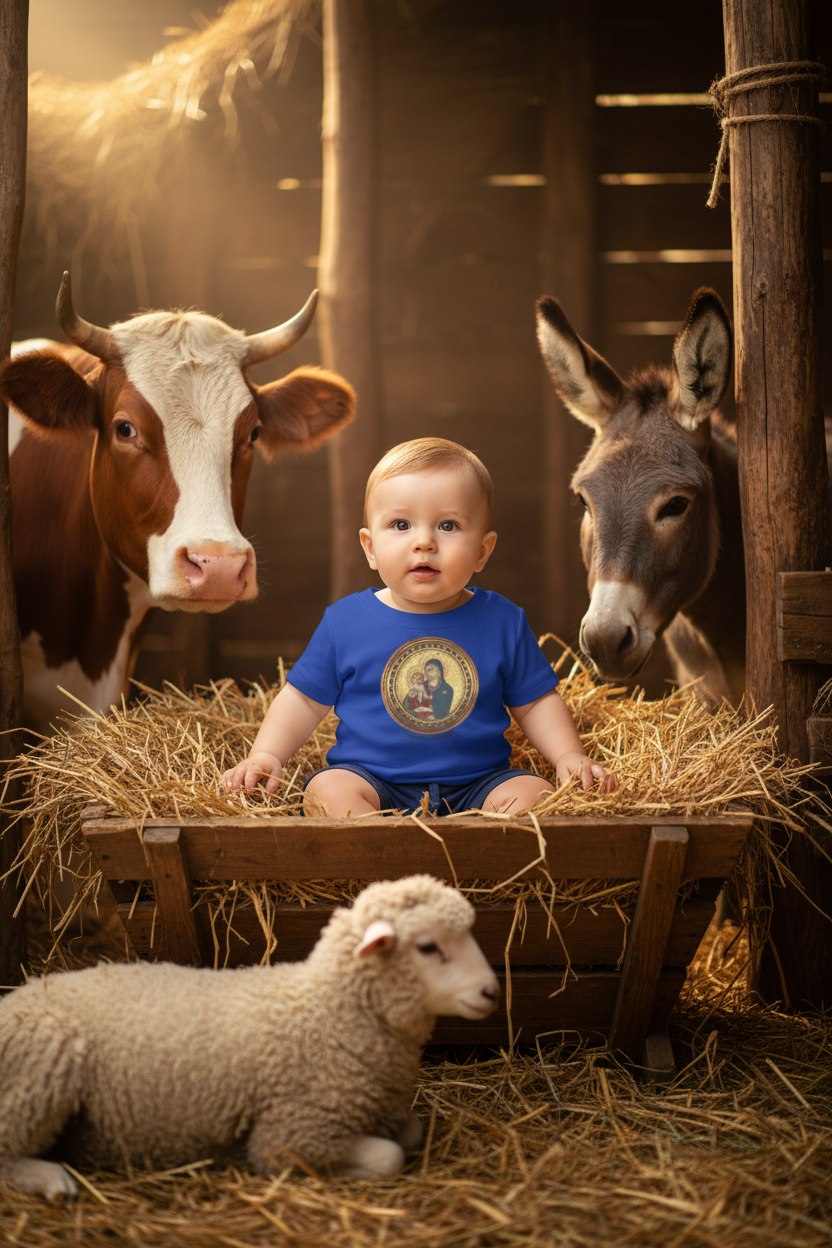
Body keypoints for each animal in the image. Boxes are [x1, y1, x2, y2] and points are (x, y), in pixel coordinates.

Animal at [0, 874, 499, 1199]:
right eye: (428, 946)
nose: (492, 991)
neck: (328, 1012)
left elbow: (411, 1132)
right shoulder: (292, 1134)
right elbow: (388, 1157)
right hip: (39, 1075)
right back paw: (53, 1182)